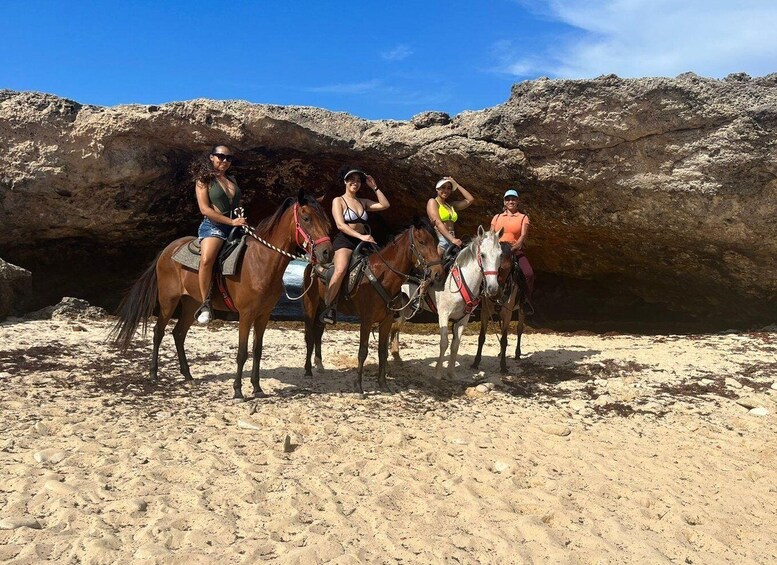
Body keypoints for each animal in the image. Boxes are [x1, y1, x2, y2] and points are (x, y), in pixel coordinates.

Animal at [110, 192, 332, 398]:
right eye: (306, 218)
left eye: (326, 220)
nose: (327, 253)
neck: (260, 262)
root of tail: (166, 251)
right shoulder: (246, 314)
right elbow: (242, 352)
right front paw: (238, 390)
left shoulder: (264, 315)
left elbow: (257, 350)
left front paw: (257, 388)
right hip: (168, 302)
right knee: (158, 332)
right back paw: (154, 374)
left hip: (191, 304)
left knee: (178, 334)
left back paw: (188, 375)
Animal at [304, 218, 442, 394]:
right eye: (422, 242)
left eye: (436, 242)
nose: (438, 273)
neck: (382, 276)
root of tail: (312, 264)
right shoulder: (366, 320)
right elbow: (363, 351)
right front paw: (359, 387)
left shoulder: (387, 321)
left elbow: (383, 352)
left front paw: (383, 384)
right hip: (310, 304)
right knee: (309, 335)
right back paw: (308, 370)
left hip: (323, 308)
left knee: (318, 332)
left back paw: (319, 365)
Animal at [392, 226, 500, 378]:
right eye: (483, 255)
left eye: (500, 255)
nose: (493, 288)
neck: (459, 280)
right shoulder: (443, 314)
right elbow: (444, 343)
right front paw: (438, 373)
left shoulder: (463, 319)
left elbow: (455, 345)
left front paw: (451, 373)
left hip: (405, 307)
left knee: (395, 327)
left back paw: (396, 355)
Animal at [466, 240, 528, 372]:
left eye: (508, 267)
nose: (493, 289)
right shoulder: (485, 312)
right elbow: (481, 337)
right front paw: (476, 362)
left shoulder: (507, 314)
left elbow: (504, 339)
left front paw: (503, 366)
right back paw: (500, 353)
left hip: (521, 310)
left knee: (520, 329)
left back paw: (517, 353)